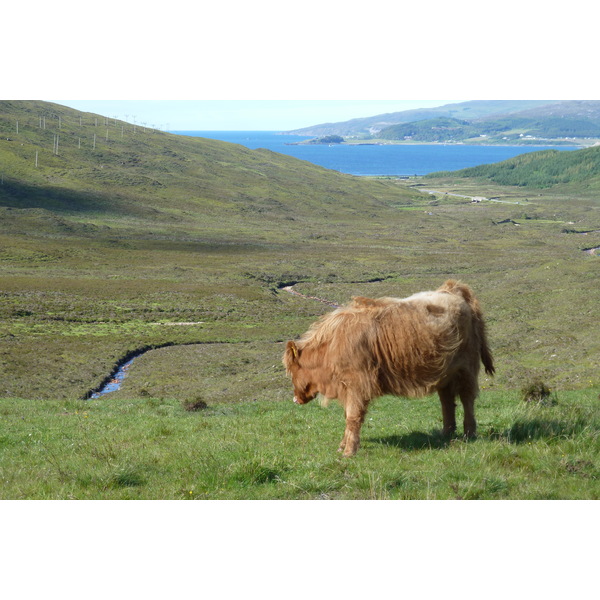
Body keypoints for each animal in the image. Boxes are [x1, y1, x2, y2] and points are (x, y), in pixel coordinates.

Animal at [284, 280, 494, 454]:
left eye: (292, 372)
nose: (295, 399)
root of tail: (452, 289)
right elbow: (348, 416)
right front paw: (343, 446)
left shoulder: (357, 385)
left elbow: (353, 417)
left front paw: (348, 452)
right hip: (445, 374)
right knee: (447, 401)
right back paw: (446, 433)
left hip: (466, 369)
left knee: (467, 399)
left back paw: (469, 433)